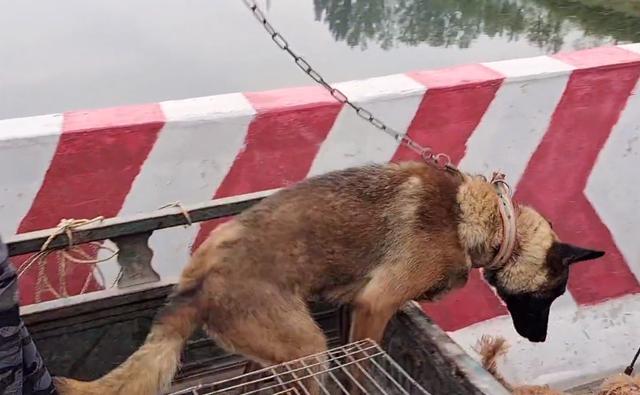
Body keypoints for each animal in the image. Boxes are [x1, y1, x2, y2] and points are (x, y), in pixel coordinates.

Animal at [52, 162, 604, 395]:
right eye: (552, 295)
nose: (539, 338)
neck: (487, 219)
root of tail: (196, 284)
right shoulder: (374, 307)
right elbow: (360, 373)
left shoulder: (355, 307)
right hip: (308, 350)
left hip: (275, 350)